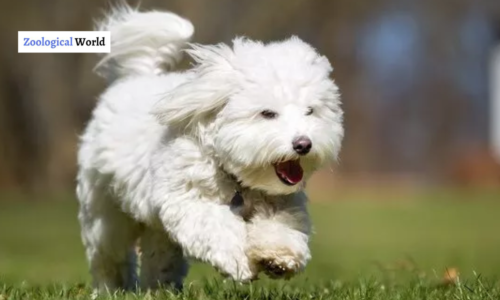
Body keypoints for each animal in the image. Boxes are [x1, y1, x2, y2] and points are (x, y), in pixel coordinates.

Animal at [77, 3, 344, 292]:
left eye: (310, 111)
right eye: (267, 113)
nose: (303, 144)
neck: (236, 178)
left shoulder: (281, 203)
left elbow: (280, 227)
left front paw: (278, 256)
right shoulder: (188, 200)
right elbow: (217, 228)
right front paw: (239, 262)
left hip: (154, 225)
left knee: (158, 251)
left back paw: (160, 287)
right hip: (105, 212)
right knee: (109, 254)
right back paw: (111, 287)